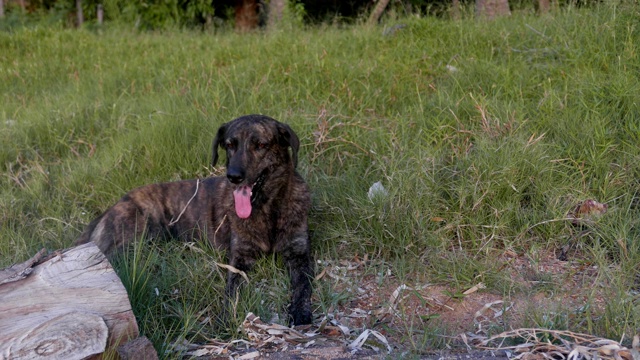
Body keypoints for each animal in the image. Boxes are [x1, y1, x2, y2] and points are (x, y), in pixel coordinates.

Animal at [75, 115, 312, 326]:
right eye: (229, 145)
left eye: (261, 145)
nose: (233, 176)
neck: (268, 209)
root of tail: (111, 208)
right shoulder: (239, 258)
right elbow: (231, 289)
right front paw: (227, 316)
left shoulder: (298, 254)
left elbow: (303, 286)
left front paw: (300, 312)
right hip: (129, 244)